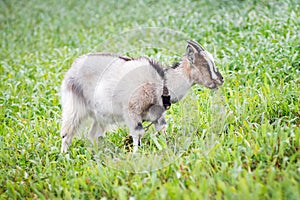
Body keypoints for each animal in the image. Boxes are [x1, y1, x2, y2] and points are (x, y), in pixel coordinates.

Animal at [60, 40, 223, 153]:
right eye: (206, 64)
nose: (221, 79)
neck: (162, 83)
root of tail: (73, 67)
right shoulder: (132, 111)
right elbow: (138, 133)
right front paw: (136, 155)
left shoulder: (158, 115)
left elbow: (162, 129)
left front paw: (167, 147)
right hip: (74, 106)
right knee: (67, 133)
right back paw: (65, 156)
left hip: (100, 116)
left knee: (93, 134)